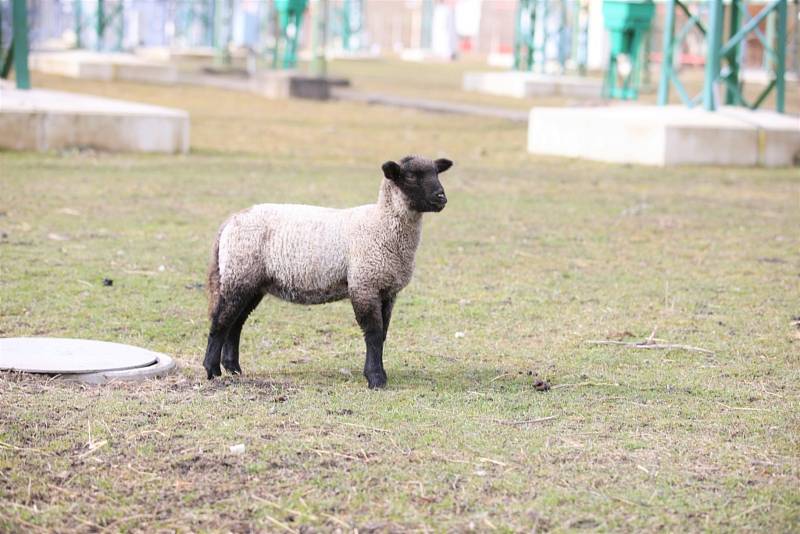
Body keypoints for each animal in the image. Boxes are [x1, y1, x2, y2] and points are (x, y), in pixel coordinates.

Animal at [203, 155, 454, 390]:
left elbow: (382, 334)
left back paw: (234, 369)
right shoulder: (364, 283)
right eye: (410, 176)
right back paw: (212, 369)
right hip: (239, 274)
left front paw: (378, 374)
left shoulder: (387, 290)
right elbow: (373, 333)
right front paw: (375, 378)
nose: (441, 198)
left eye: (436, 172)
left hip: (253, 282)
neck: (380, 224)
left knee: (236, 323)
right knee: (221, 321)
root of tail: (230, 221)